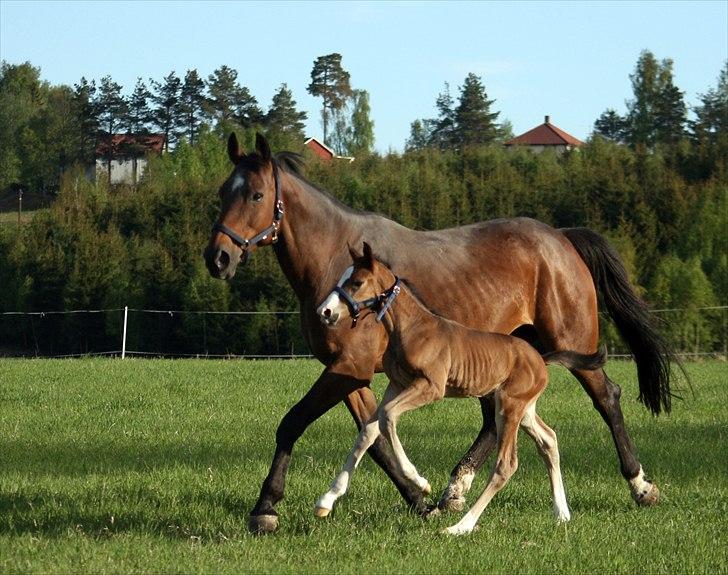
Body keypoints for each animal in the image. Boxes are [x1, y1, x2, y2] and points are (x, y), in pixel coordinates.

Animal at [316, 243, 604, 536]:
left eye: (356, 282)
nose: (325, 312)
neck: (412, 328)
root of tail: (540, 358)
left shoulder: (431, 386)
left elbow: (387, 417)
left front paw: (420, 481)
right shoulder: (397, 386)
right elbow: (369, 431)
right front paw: (327, 499)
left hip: (509, 407)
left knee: (506, 465)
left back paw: (461, 526)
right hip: (522, 408)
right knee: (549, 440)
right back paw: (561, 513)